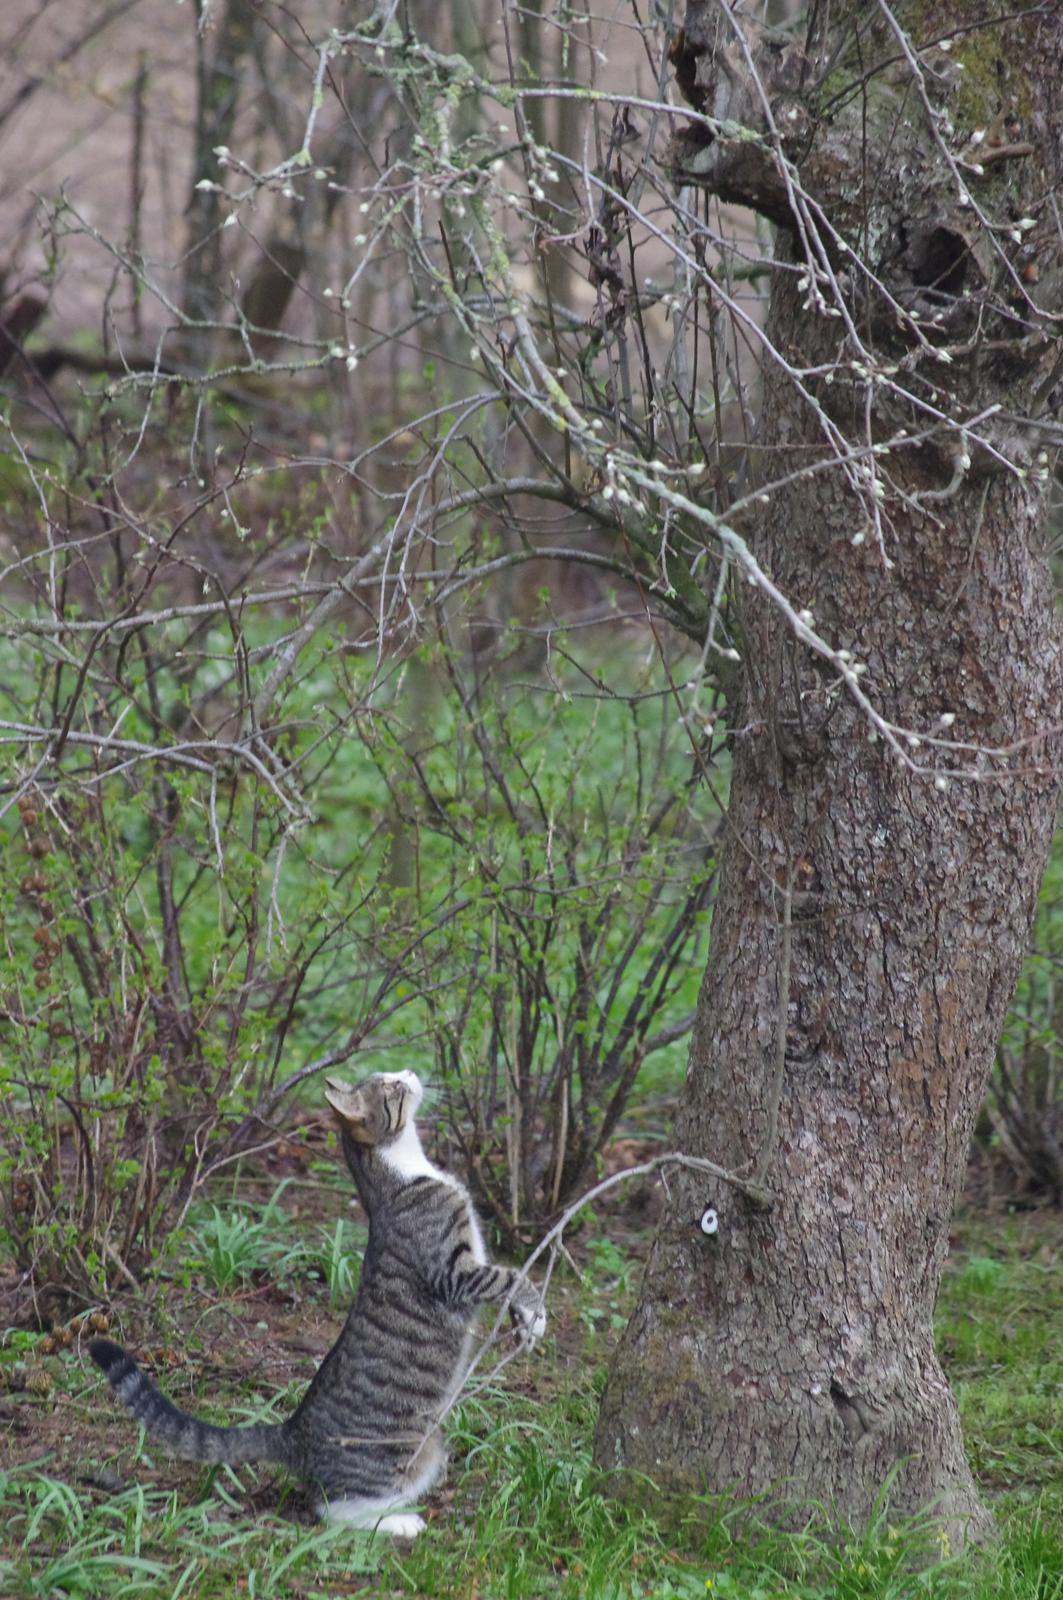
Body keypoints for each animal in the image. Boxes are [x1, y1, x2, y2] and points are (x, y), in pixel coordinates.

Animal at [91, 1075, 547, 1536]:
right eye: (391, 1087)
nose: (410, 1073)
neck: (405, 1169)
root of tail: (293, 1431)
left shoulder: (472, 1262)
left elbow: (507, 1281)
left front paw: (525, 1321)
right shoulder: (451, 1272)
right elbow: (511, 1277)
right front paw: (536, 1310)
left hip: (431, 1446)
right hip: (403, 1450)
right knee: (332, 1510)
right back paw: (399, 1523)